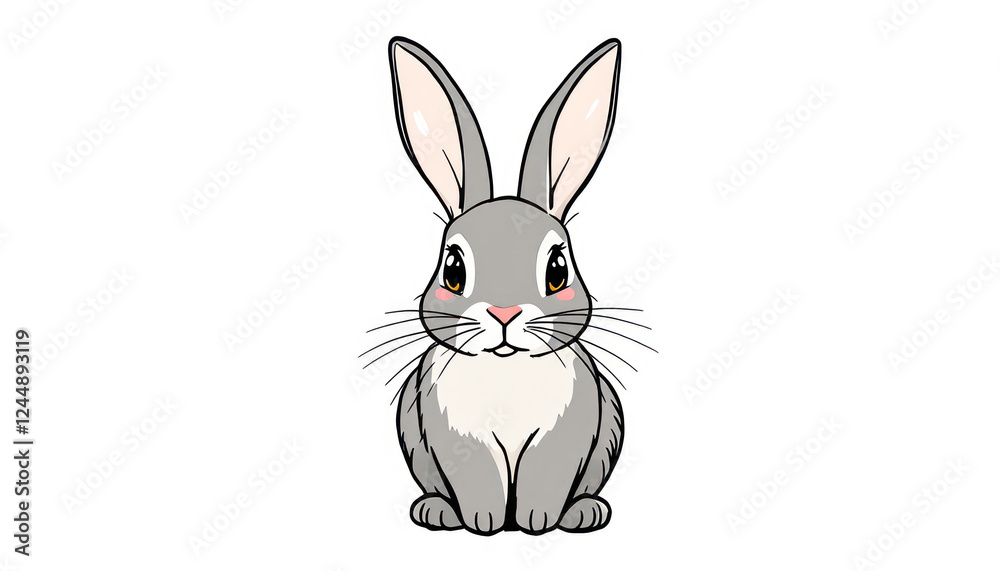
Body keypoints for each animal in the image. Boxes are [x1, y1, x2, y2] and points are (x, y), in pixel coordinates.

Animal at [386, 36, 625, 535]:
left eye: (557, 270)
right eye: (453, 269)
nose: (504, 313)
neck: (506, 371)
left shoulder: (565, 436)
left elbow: (544, 478)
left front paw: (536, 523)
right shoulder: (456, 439)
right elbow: (479, 479)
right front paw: (484, 523)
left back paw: (585, 513)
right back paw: (435, 511)